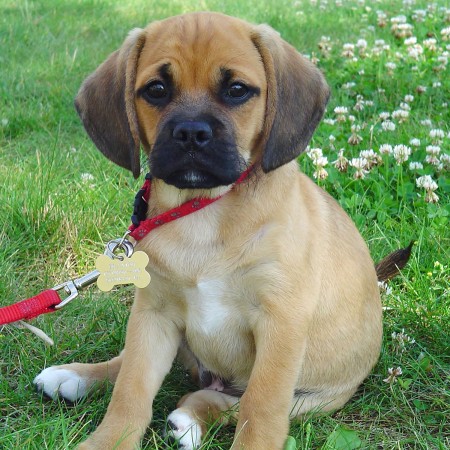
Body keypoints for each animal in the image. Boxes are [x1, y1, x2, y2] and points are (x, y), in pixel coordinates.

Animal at [35, 11, 408, 450]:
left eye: (236, 90)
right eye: (156, 89)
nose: (192, 133)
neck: (204, 211)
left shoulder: (280, 323)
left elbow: (260, 408)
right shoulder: (153, 312)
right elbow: (131, 388)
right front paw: (108, 441)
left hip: (314, 399)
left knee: (229, 402)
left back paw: (191, 416)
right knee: (129, 365)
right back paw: (75, 376)